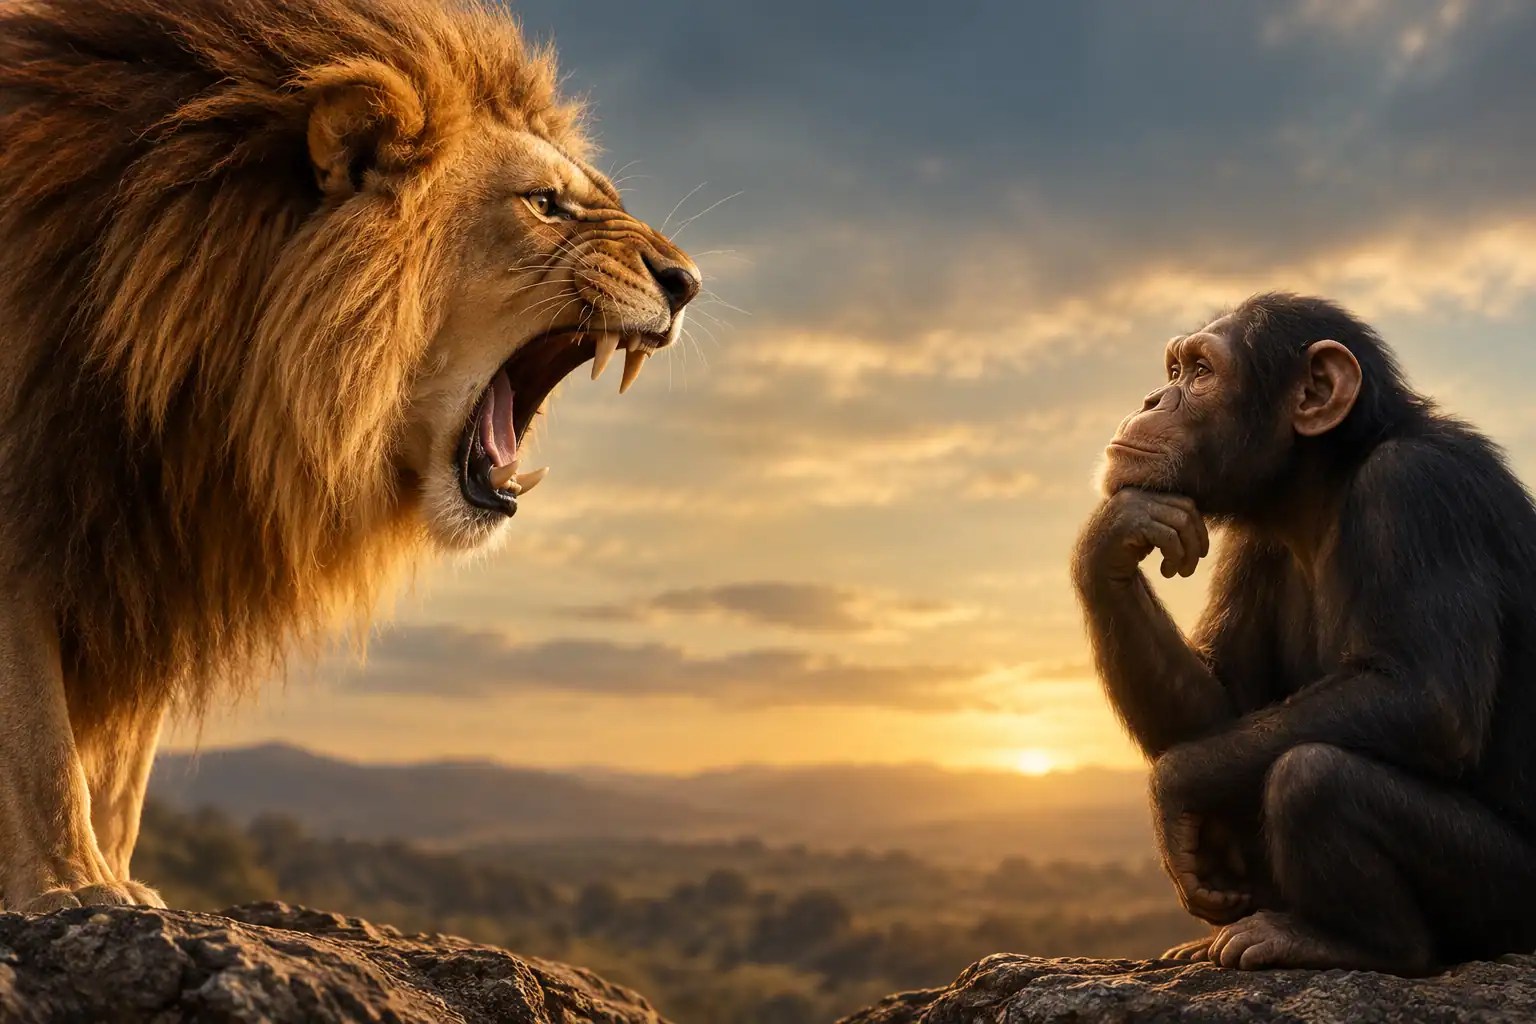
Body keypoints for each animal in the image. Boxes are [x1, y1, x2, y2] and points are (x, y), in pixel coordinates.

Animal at [0, 0, 699, 911]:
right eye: (547, 203)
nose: (688, 281)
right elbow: (40, 744)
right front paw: (75, 887)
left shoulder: (158, 551)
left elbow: (121, 772)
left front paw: (115, 878)